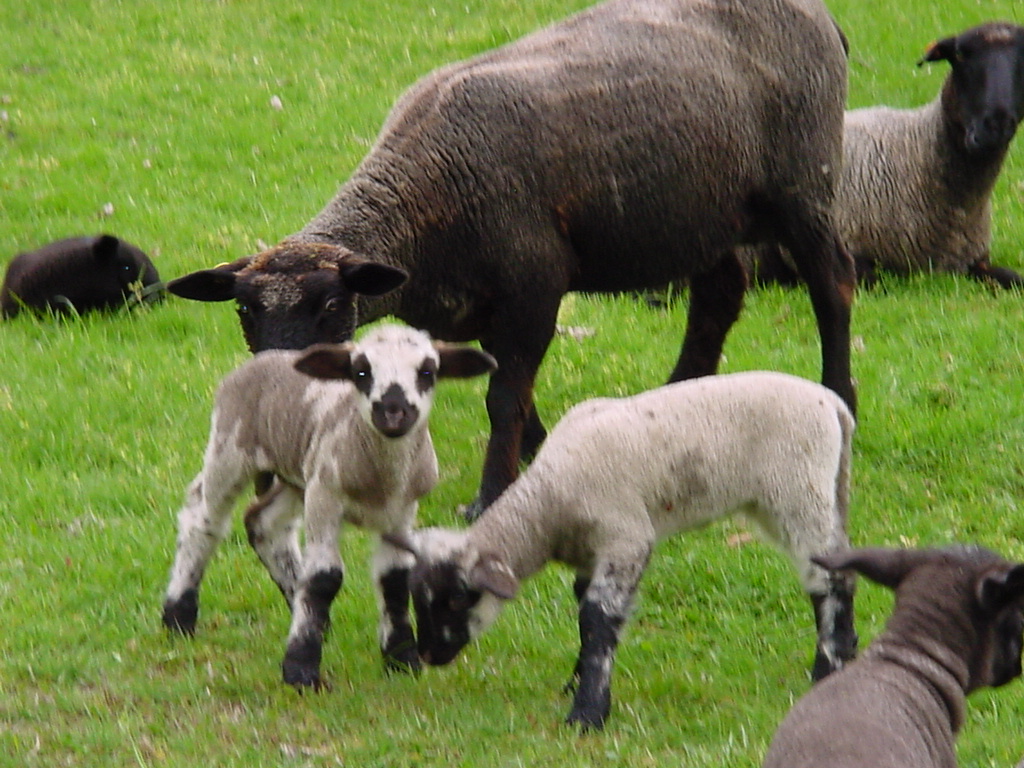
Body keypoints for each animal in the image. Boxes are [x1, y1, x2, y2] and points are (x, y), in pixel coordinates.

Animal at [160, 324, 496, 688]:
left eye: (427, 372)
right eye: (361, 372)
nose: (393, 411)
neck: (381, 479)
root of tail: (262, 359)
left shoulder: (400, 509)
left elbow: (395, 578)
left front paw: (402, 659)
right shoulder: (326, 497)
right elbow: (324, 578)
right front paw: (301, 670)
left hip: (296, 474)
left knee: (264, 523)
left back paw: (306, 611)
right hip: (231, 448)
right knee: (203, 518)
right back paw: (178, 617)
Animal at [166, 0, 857, 519]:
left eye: (335, 303)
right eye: (244, 311)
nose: (273, 393)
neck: (423, 190)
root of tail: (821, 15)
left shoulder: (533, 286)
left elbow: (504, 397)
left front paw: (492, 495)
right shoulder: (459, 307)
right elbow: (508, 386)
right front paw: (536, 451)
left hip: (804, 183)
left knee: (833, 286)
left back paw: (838, 396)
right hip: (703, 210)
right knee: (720, 294)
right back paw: (679, 398)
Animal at [391, 371, 859, 730]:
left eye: (457, 599)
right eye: (417, 597)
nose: (427, 654)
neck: (547, 506)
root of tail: (834, 406)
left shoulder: (626, 539)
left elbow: (598, 620)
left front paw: (587, 714)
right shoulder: (591, 554)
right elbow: (585, 615)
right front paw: (577, 682)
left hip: (798, 492)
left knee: (829, 579)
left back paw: (827, 669)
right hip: (816, 494)